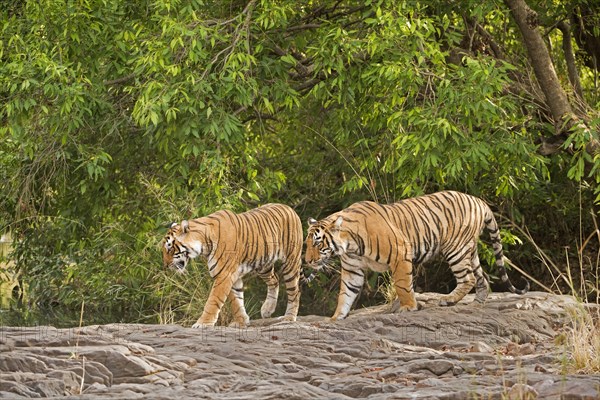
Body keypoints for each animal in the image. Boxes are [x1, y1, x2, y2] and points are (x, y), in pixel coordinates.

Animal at [162, 203, 302, 328]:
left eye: (169, 248)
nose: (165, 265)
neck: (204, 243)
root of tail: (289, 208)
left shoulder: (224, 275)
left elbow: (213, 301)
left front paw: (202, 323)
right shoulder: (231, 275)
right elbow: (236, 301)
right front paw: (241, 321)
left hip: (290, 263)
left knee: (295, 291)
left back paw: (289, 317)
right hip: (263, 265)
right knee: (274, 279)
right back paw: (267, 309)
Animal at [308, 191, 528, 322]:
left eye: (318, 243)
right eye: (307, 244)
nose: (308, 261)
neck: (349, 245)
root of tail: (478, 200)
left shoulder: (400, 254)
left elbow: (403, 285)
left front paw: (408, 307)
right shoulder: (353, 269)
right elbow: (346, 293)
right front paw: (336, 317)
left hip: (456, 249)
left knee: (469, 278)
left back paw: (448, 300)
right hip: (469, 250)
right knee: (483, 277)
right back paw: (477, 302)